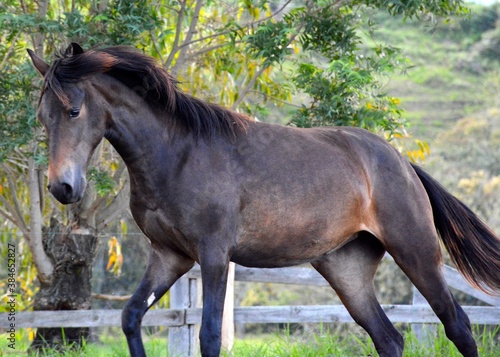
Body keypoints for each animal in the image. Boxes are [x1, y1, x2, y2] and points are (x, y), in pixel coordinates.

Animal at [29, 42, 498, 356]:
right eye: (42, 118)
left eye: (73, 111)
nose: (62, 189)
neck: (177, 154)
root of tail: (401, 162)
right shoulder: (169, 256)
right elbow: (130, 317)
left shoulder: (214, 256)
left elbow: (210, 336)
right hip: (346, 270)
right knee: (389, 338)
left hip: (415, 252)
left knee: (457, 325)